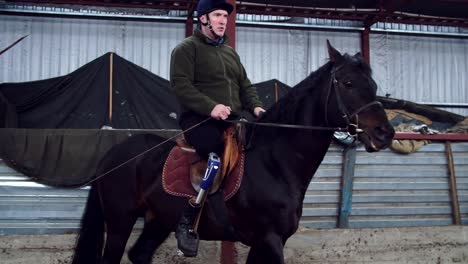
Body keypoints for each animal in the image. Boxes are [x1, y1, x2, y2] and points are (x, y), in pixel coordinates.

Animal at [72, 41, 394, 264]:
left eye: (373, 84)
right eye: (348, 83)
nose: (385, 134)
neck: (274, 163)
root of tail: (113, 155)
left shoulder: (266, 242)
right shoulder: (269, 239)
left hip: (158, 220)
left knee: (139, 254)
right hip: (119, 222)